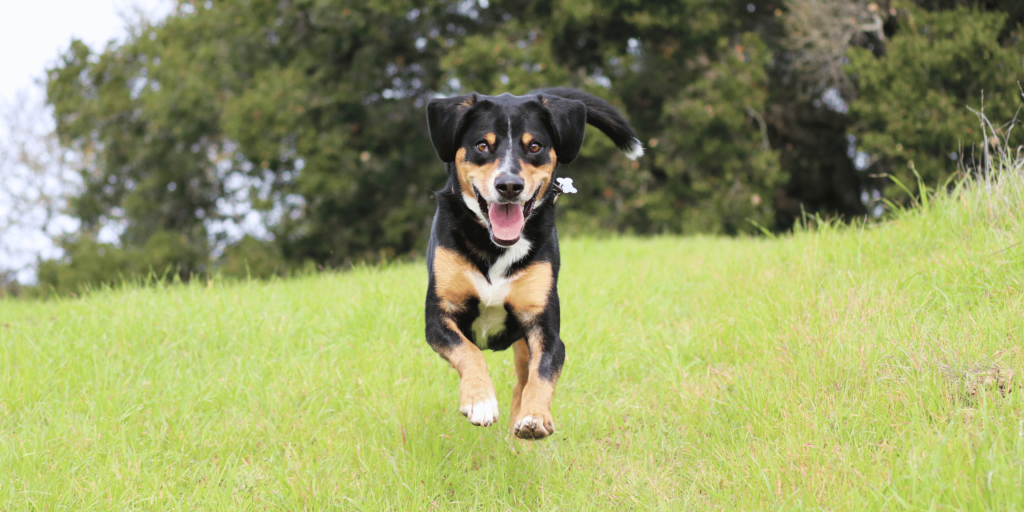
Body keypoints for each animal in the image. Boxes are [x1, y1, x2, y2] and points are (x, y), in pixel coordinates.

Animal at [421, 88, 638, 440]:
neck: (494, 247)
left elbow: (543, 373)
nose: (509, 185)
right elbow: (469, 351)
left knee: (522, 382)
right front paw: (480, 399)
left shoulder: (544, 327)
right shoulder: (438, 316)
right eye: (482, 145)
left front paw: (535, 416)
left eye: (534, 146)